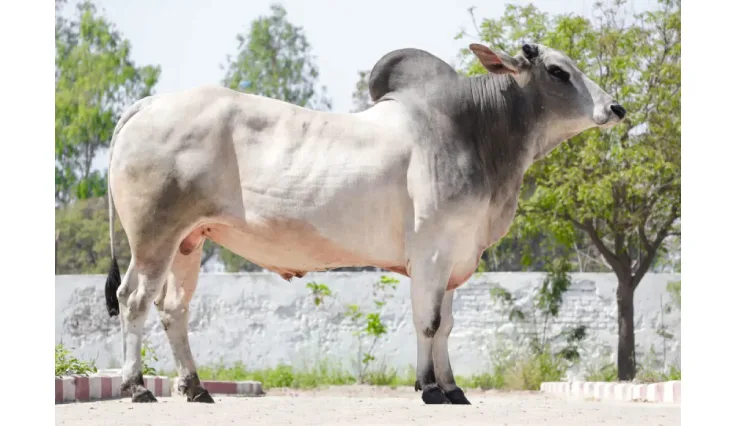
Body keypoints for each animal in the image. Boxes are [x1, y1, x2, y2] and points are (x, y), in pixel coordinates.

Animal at [103, 42, 626, 405]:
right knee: (134, 301)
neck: (476, 133)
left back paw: (195, 388)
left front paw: (453, 388)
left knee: (173, 309)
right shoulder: (432, 254)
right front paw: (428, 388)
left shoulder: (454, 256)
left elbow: (448, 325)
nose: (615, 107)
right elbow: (428, 322)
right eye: (558, 71)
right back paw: (137, 387)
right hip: (153, 237)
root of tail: (148, 104)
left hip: (188, 242)